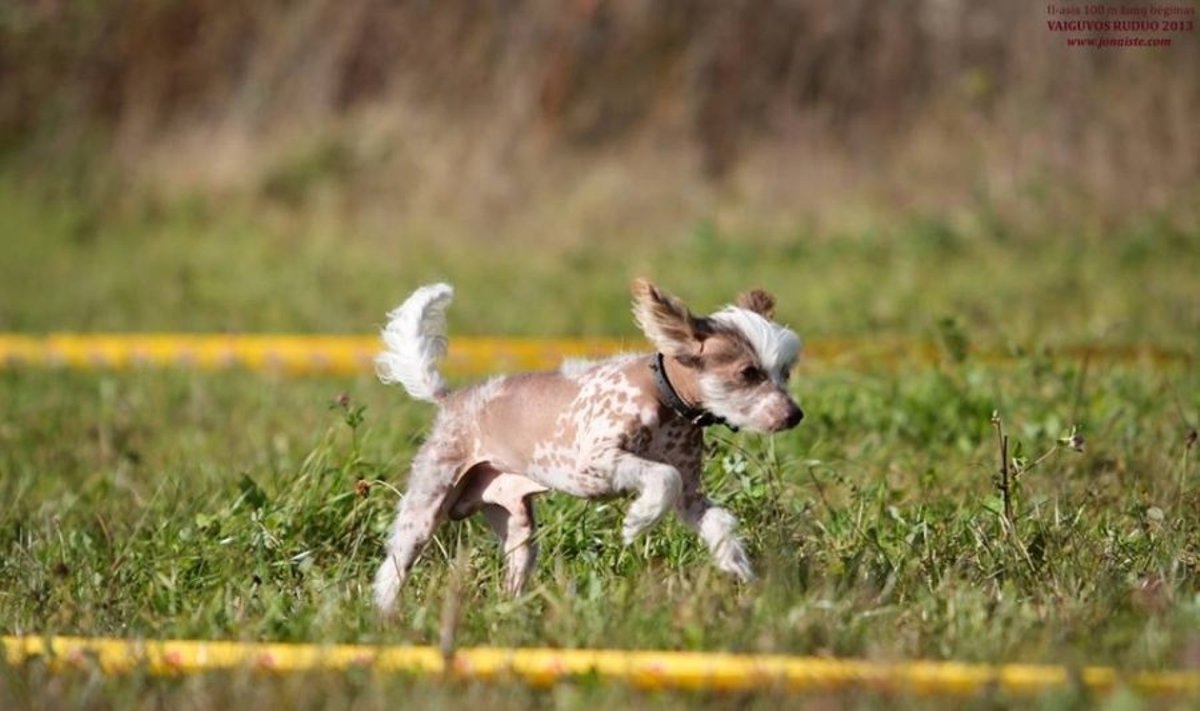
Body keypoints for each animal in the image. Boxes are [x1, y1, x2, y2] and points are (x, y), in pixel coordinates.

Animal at [369, 276, 801, 610]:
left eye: (785, 372)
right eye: (748, 373)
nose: (795, 415)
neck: (665, 398)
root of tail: (452, 398)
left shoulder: (690, 495)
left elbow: (716, 521)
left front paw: (739, 568)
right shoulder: (595, 465)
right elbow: (663, 477)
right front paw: (637, 522)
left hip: (517, 528)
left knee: (513, 574)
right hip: (428, 504)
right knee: (394, 566)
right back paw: (386, 616)